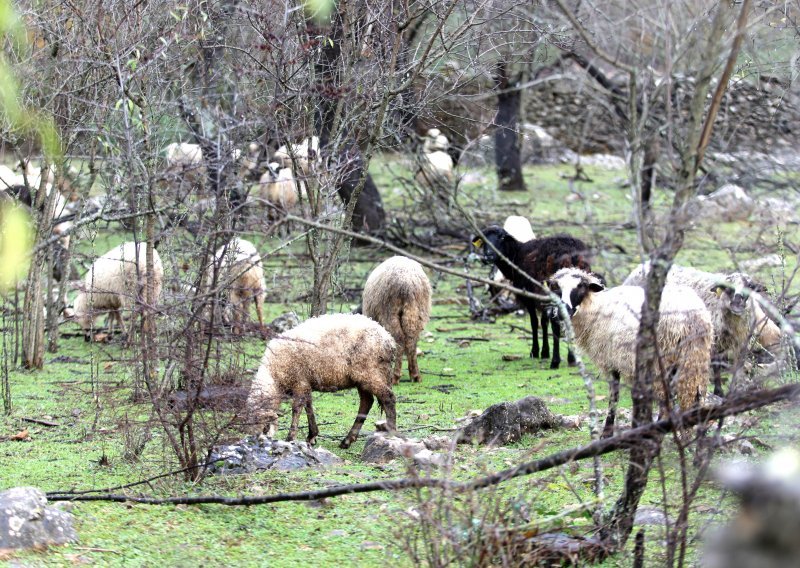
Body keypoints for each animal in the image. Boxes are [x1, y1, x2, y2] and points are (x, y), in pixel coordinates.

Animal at [245, 310, 398, 448]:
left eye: (263, 427)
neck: (274, 376)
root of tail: (388, 339)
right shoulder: (306, 383)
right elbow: (309, 406)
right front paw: (312, 435)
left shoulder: (299, 381)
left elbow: (297, 408)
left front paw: (290, 438)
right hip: (362, 377)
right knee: (367, 402)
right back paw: (348, 440)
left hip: (370, 372)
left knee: (388, 397)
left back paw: (390, 433)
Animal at [362, 255, 432, 384]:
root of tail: (407, 281)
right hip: (417, 312)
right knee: (411, 341)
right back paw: (415, 375)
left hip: (390, 312)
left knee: (399, 340)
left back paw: (395, 377)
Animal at [472, 226, 592, 368]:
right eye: (483, 239)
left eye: (501, 237)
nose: (488, 256)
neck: (516, 255)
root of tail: (572, 254)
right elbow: (544, 321)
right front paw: (545, 352)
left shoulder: (529, 296)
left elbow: (534, 322)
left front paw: (535, 351)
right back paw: (572, 358)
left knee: (556, 321)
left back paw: (556, 361)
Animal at [552, 266, 712, 434]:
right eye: (557, 288)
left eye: (580, 286)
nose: (562, 312)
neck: (596, 308)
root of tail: (692, 318)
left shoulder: (613, 359)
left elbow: (615, 395)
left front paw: (608, 432)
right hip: (693, 357)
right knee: (695, 393)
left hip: (662, 357)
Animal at [624, 262, 780, 392]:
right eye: (727, 287)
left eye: (750, 286)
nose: (737, 302)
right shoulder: (714, 340)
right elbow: (716, 365)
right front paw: (719, 392)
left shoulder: (739, 341)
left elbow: (738, 366)